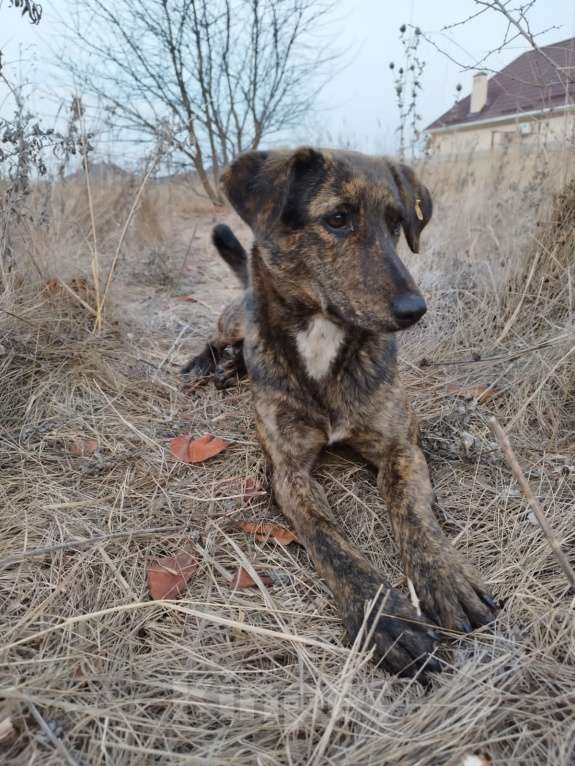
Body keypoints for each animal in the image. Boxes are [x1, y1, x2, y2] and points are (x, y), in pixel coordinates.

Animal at [182, 147, 498, 676]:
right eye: (337, 219)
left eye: (397, 222)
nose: (415, 309)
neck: (322, 337)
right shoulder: (288, 472)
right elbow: (328, 539)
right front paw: (383, 616)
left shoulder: (401, 449)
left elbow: (415, 517)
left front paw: (445, 576)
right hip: (235, 319)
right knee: (217, 336)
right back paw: (208, 364)